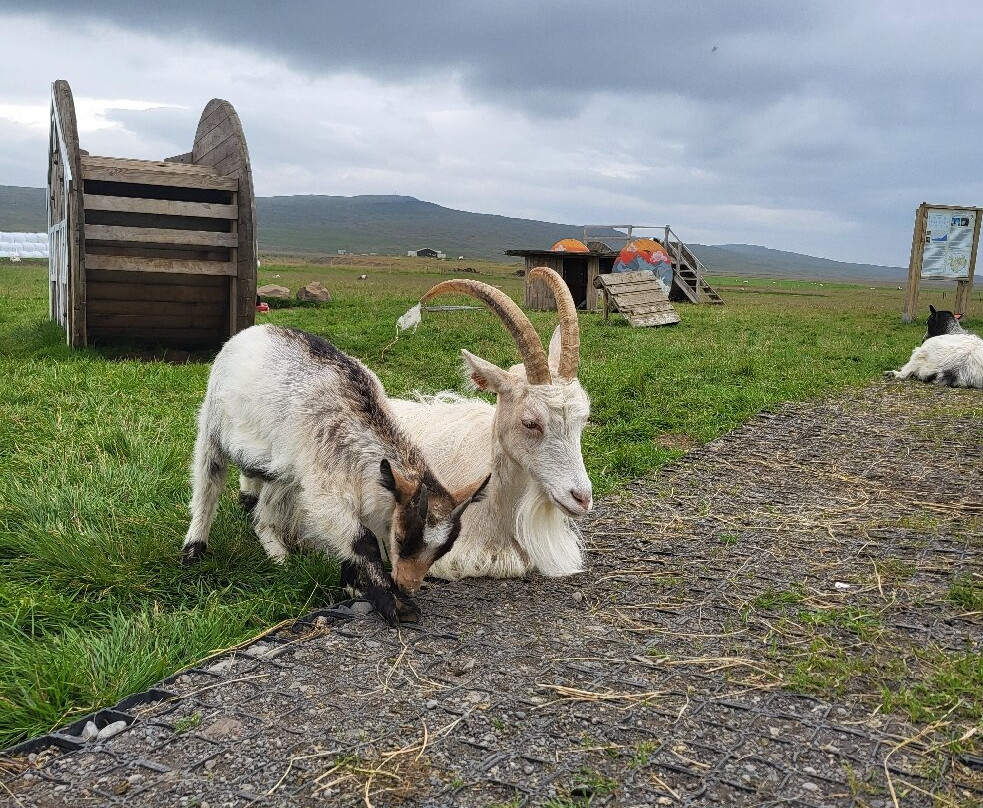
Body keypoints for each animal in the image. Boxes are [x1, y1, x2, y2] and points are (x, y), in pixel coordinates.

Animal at [182, 324, 488, 624]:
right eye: (401, 538)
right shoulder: (324, 491)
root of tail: (252, 330)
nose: (407, 586)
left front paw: (353, 587)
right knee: (208, 480)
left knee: (261, 495)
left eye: (443, 550)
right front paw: (394, 604)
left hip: (278, 463)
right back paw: (194, 549)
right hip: (213, 424)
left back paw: (275, 549)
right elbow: (363, 541)